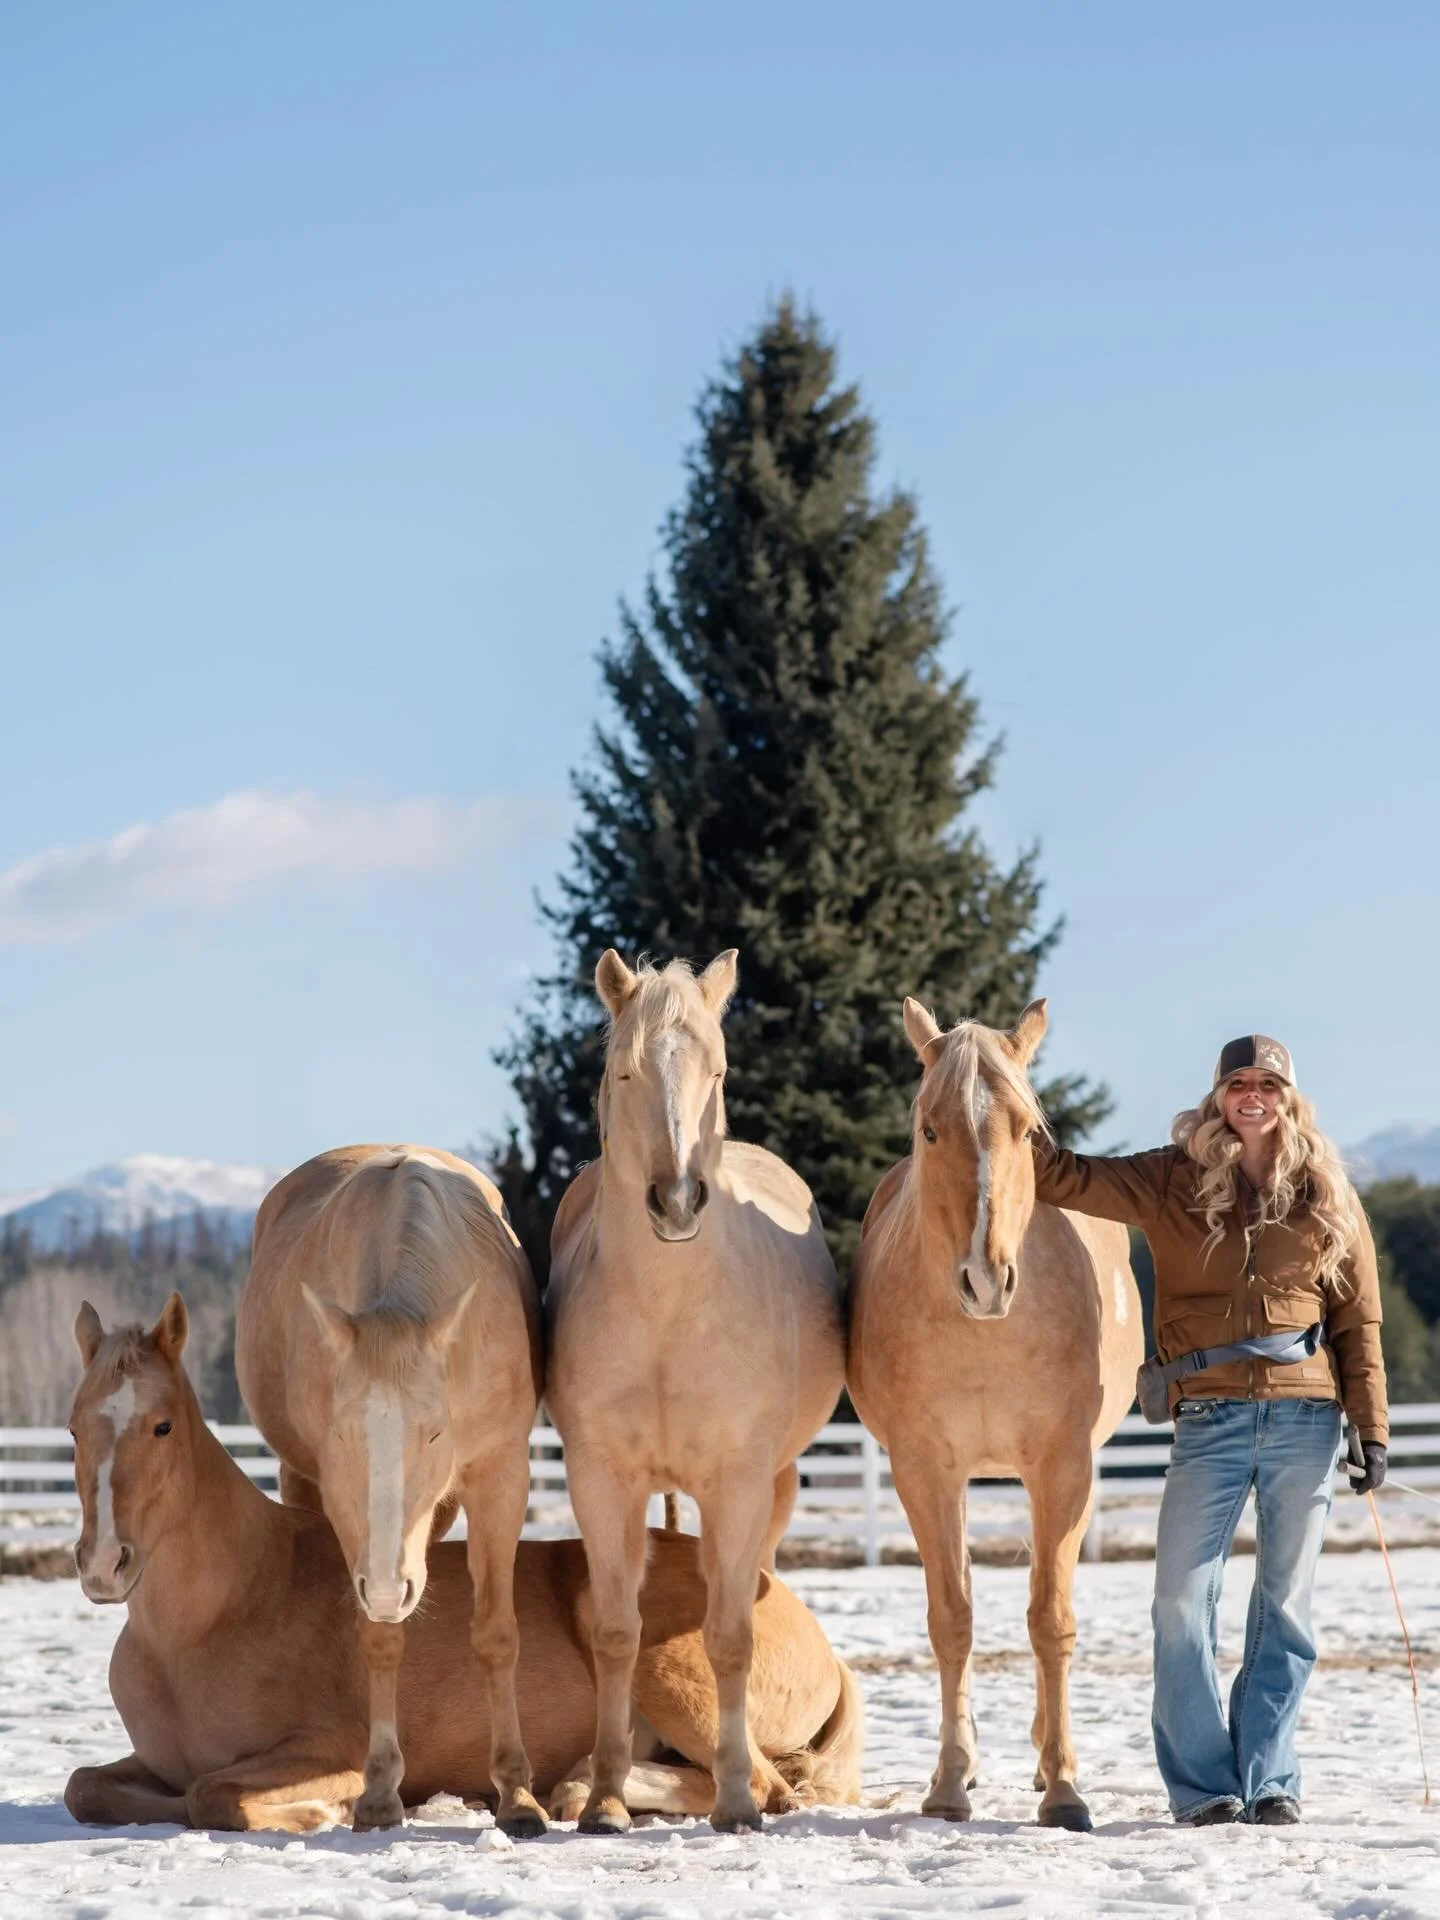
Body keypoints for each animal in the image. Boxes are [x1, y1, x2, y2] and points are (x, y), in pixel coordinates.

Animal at [64, 1295, 863, 1832]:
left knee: (763, 1787)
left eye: (162, 1426)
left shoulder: (327, 1748)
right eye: (73, 1428)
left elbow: (211, 1794)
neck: (223, 1612)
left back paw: (576, 1792)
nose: (105, 1565)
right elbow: (85, 1785)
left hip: (666, 1664)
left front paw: (322, 1811)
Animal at [234, 1145, 545, 1833]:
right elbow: (379, 1639)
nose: (384, 1587)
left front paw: (517, 1794)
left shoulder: (500, 1475)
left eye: (434, 1433)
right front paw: (379, 1791)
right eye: (344, 1434)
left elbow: (498, 1635)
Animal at [545, 950, 847, 1833]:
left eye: (716, 1069)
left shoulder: (737, 1485)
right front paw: (605, 1799)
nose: (677, 1202)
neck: (670, 1314)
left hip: (773, 1489)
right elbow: (616, 1633)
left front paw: (737, 1801)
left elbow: (730, 1641)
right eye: (624, 1069)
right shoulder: (600, 1480)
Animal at [847, 998, 1142, 1831]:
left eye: (1028, 1130)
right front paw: (950, 1780)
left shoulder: (1063, 1470)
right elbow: (952, 1618)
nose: (985, 1279)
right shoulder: (924, 1471)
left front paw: (1065, 1786)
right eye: (929, 1128)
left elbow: (1051, 1619)